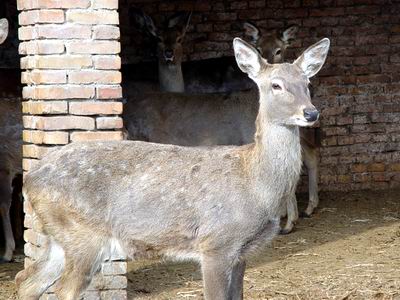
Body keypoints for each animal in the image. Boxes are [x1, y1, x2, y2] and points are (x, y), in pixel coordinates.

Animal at [15, 37, 330, 300]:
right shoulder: (216, 242)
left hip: (59, 236)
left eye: (307, 83)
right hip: (81, 233)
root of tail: (30, 180)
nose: (310, 113)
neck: (255, 183)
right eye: (276, 85)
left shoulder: (242, 253)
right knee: (62, 290)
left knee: (27, 280)